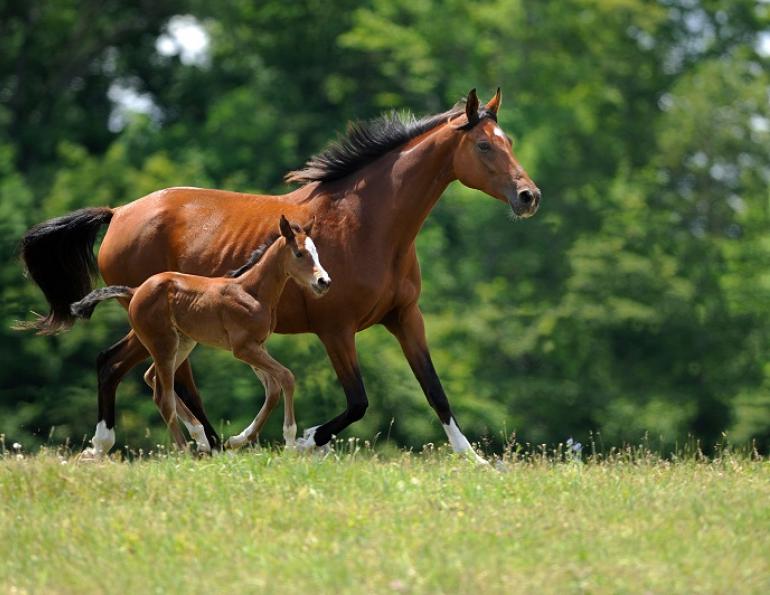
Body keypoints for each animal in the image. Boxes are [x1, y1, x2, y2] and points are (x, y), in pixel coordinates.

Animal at [69, 215, 330, 454]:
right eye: (299, 253)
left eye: (317, 253)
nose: (324, 281)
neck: (252, 291)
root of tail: (135, 291)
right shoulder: (243, 348)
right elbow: (286, 377)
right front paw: (290, 441)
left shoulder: (257, 346)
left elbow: (273, 389)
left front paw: (238, 440)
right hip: (163, 343)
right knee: (163, 397)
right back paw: (186, 452)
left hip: (182, 343)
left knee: (152, 379)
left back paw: (200, 438)